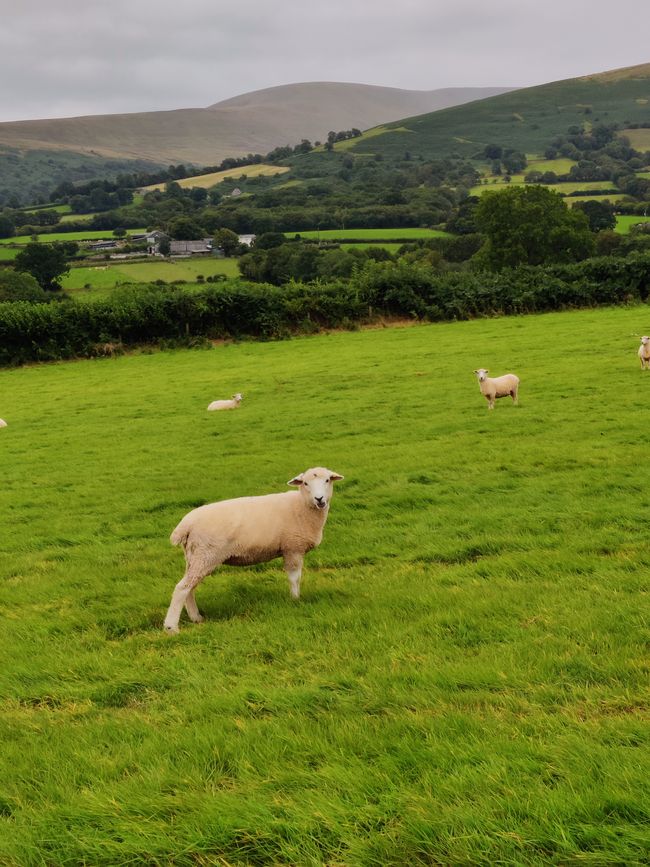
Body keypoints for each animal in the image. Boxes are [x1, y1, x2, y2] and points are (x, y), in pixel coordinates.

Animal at [162, 464, 344, 636]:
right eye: (305, 483)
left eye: (327, 480)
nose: (319, 499)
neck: (301, 506)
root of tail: (185, 525)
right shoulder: (293, 548)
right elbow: (294, 579)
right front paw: (295, 600)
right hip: (205, 555)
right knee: (182, 588)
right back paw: (171, 627)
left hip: (194, 557)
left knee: (190, 588)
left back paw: (196, 618)